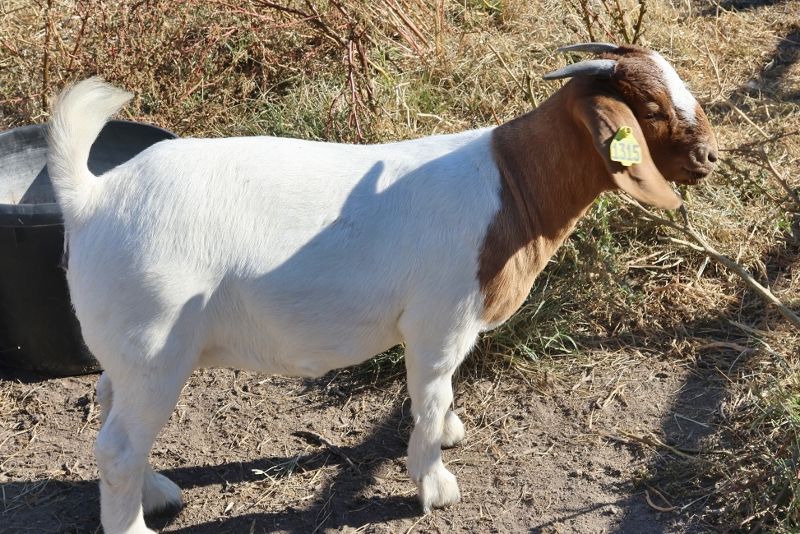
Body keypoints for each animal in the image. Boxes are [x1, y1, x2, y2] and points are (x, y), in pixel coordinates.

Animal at [47, 44, 716, 532]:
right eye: (652, 107)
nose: (710, 156)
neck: (510, 186)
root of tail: (92, 196)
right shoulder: (438, 321)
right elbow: (431, 393)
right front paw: (436, 484)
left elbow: (439, 397)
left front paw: (449, 434)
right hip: (156, 343)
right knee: (117, 448)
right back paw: (136, 522)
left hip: (131, 344)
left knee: (109, 405)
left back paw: (159, 492)